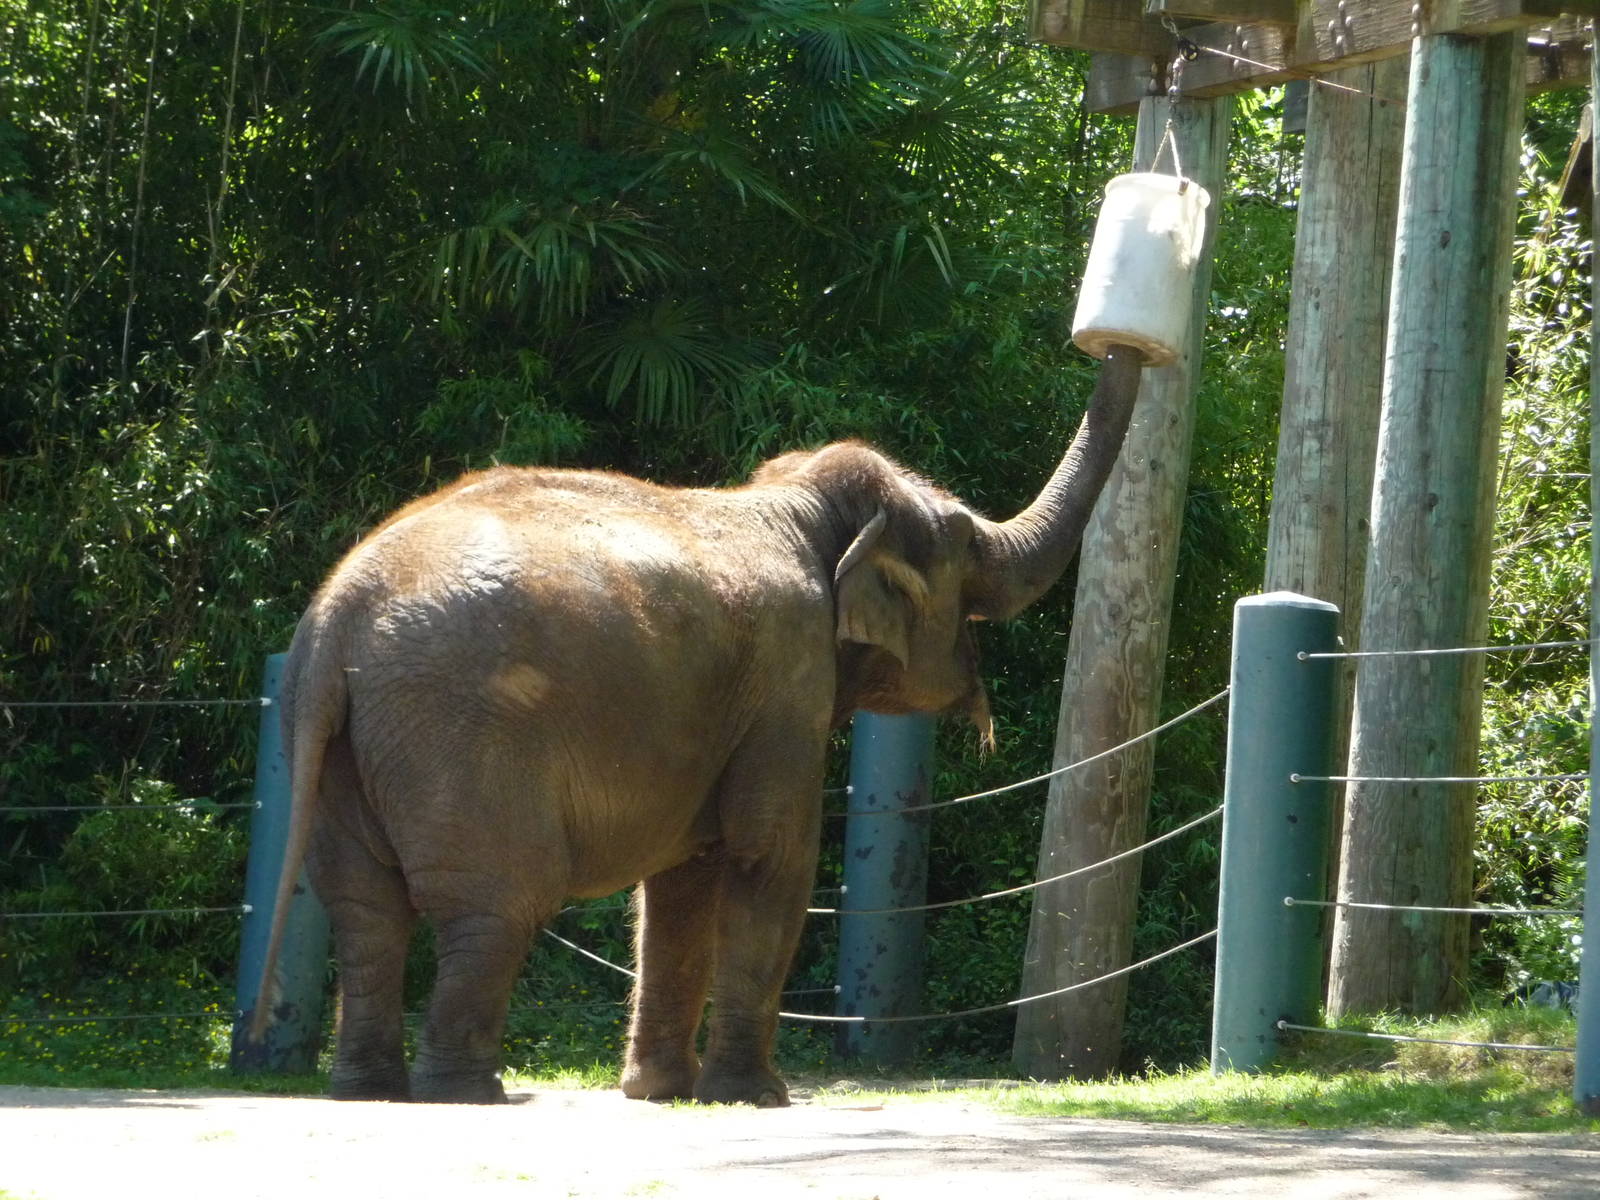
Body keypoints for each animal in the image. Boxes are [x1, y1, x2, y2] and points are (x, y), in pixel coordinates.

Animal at [249, 346, 1146, 1106]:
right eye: (962, 539)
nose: (1115, 341)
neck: (794, 504)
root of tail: (335, 621)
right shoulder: (788, 679)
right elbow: (770, 855)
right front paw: (756, 1098)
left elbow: (683, 879)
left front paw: (659, 1095)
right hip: (458, 738)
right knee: (495, 905)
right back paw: (470, 1094)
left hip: (341, 742)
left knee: (366, 909)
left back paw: (368, 1091)